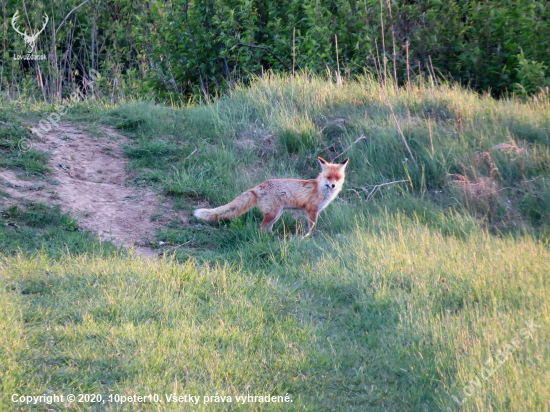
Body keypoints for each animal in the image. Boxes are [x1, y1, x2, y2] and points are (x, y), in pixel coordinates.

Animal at [194, 157, 350, 235]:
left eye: (337, 177)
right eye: (328, 177)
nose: (333, 185)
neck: (320, 189)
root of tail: (257, 187)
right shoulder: (312, 211)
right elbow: (312, 228)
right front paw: (309, 238)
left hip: (276, 214)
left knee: (267, 228)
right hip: (273, 213)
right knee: (261, 227)